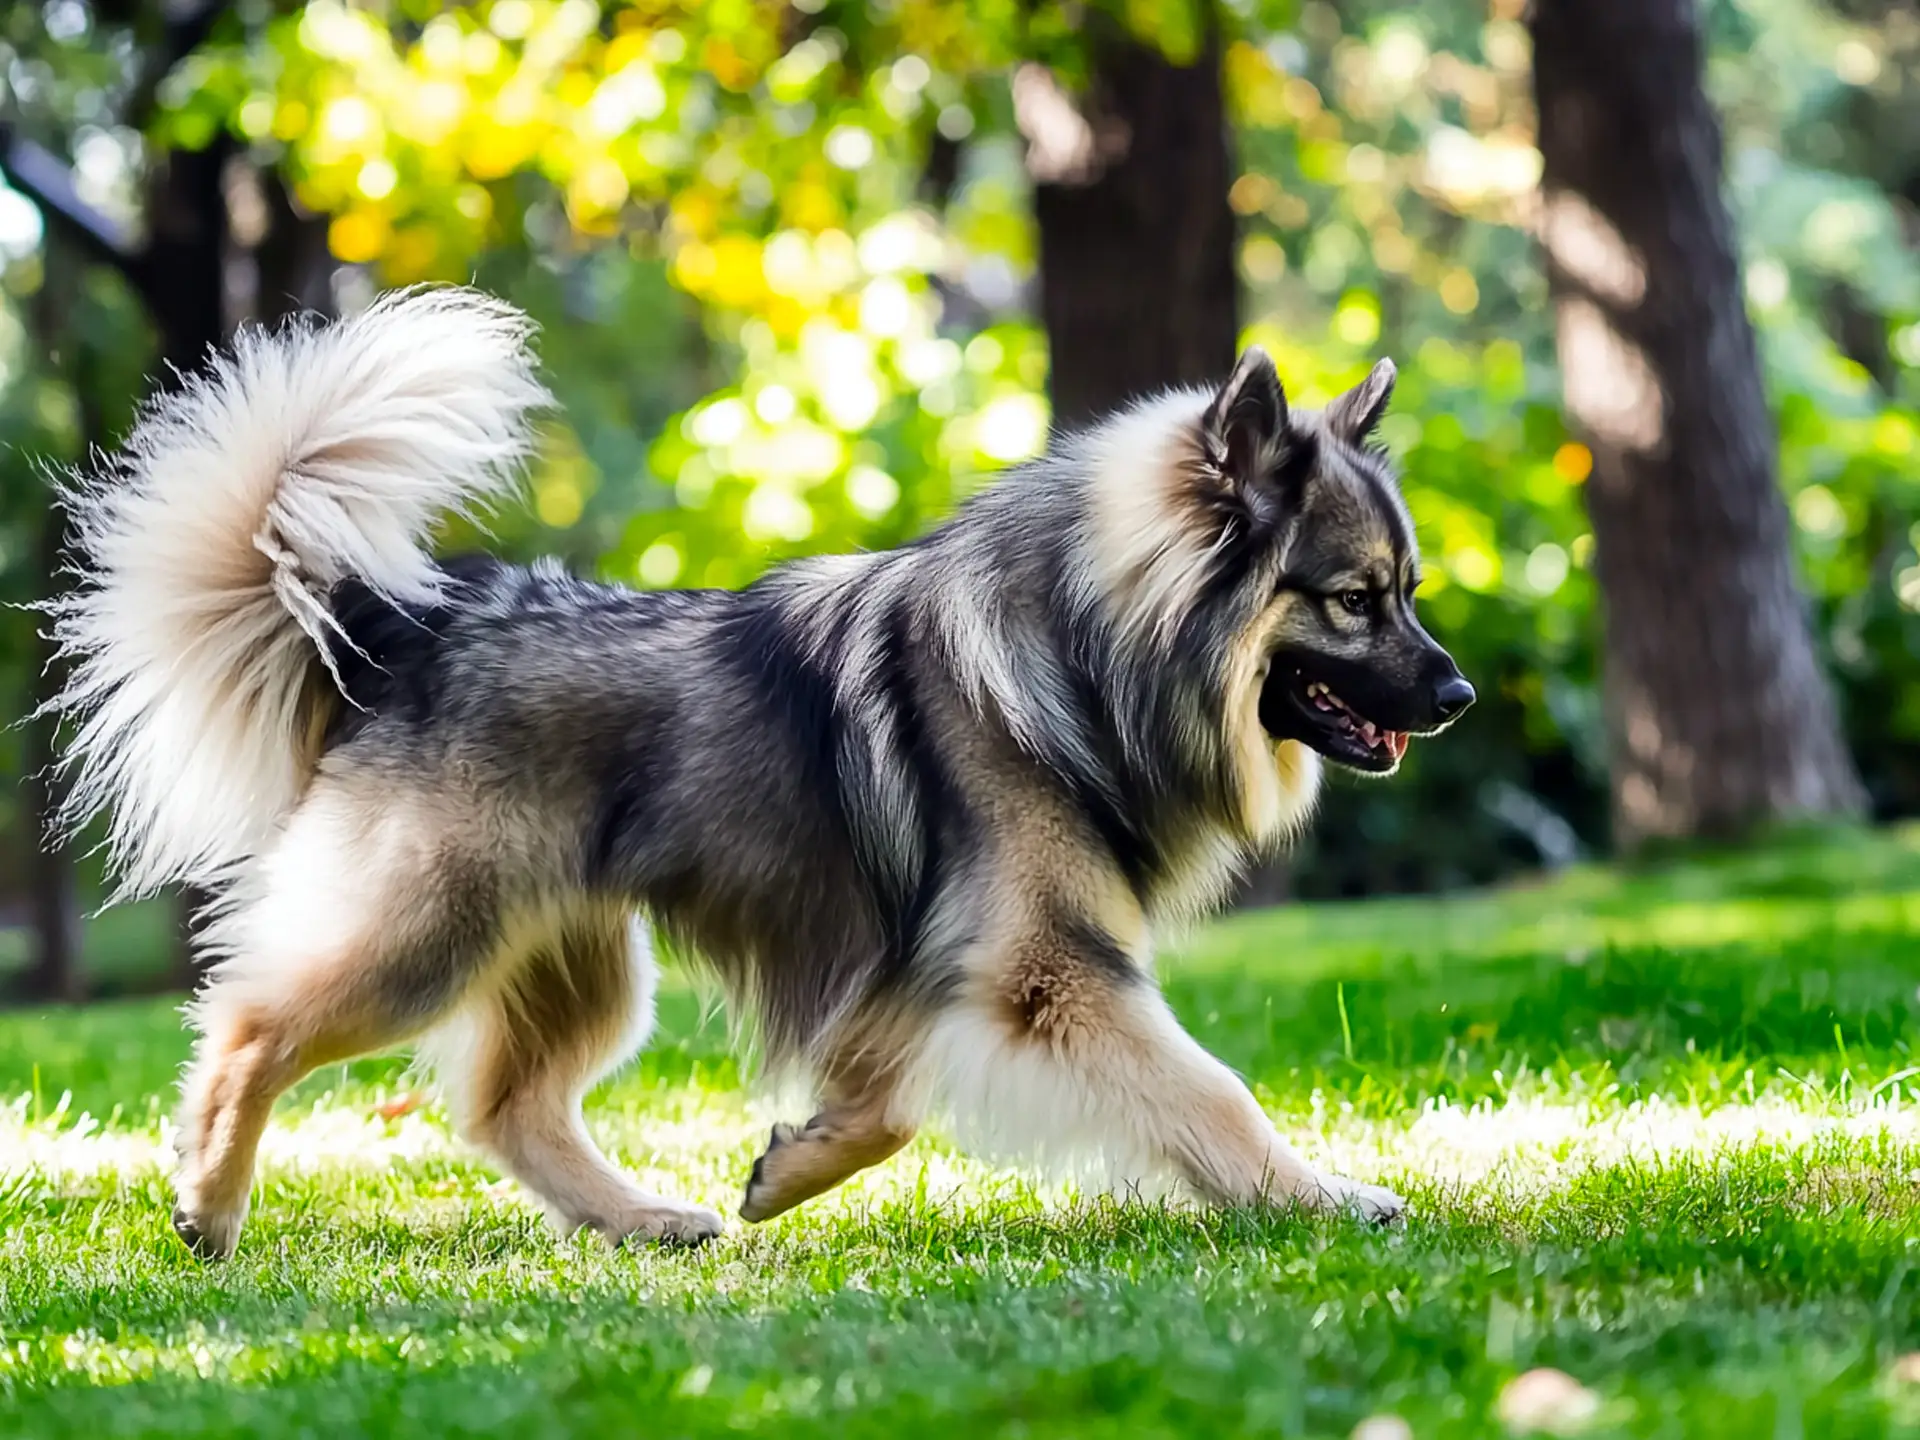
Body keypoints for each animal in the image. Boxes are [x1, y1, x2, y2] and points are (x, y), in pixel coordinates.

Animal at [48, 288, 1466, 1259]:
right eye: (1356, 599)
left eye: (1408, 590)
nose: (1456, 698)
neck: (1084, 643)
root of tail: (405, 629)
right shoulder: (1051, 972)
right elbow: (1210, 1096)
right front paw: (1322, 1196)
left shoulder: (918, 976)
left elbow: (886, 1107)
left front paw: (793, 1166)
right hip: (426, 933)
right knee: (250, 1024)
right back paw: (208, 1201)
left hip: (576, 959)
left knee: (509, 1107)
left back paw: (637, 1218)